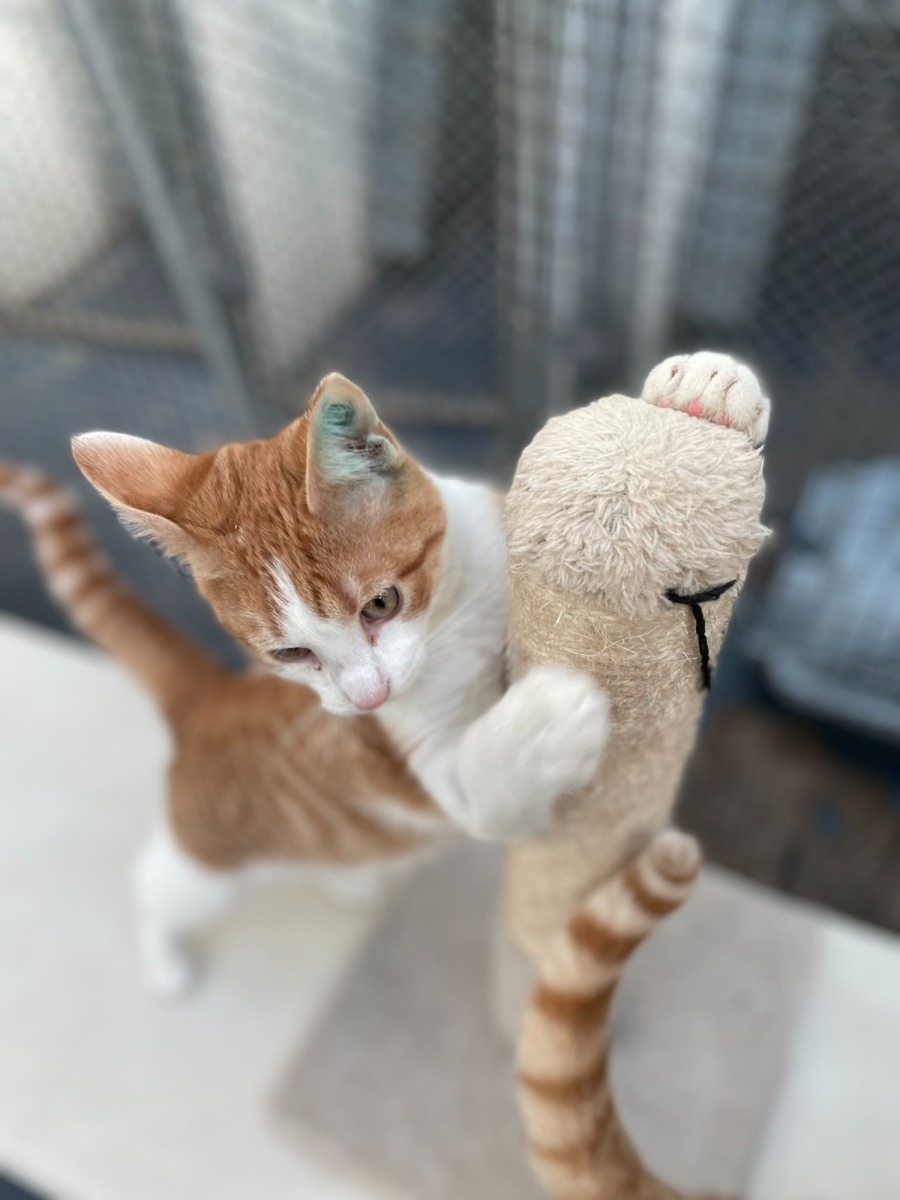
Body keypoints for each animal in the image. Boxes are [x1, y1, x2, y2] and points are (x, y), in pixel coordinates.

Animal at [0, 373, 608, 994]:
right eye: (290, 653)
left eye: (381, 604)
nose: (368, 697)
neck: (452, 618)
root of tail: (210, 699)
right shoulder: (434, 775)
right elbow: (490, 790)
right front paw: (545, 721)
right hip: (207, 873)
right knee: (152, 889)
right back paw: (163, 962)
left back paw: (352, 883)